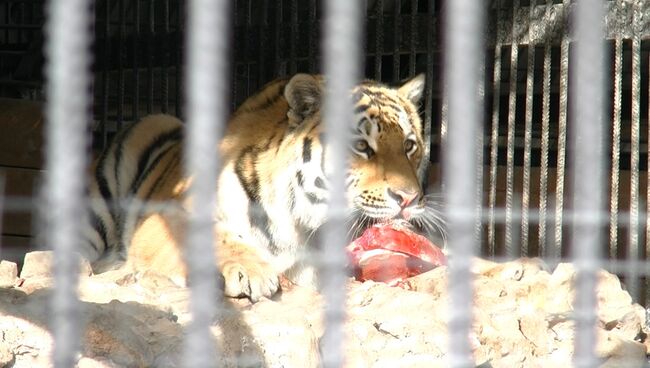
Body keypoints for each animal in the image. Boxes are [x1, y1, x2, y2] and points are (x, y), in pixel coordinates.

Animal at [81, 74, 440, 302]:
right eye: (362, 146)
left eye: (409, 145)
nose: (408, 198)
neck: (305, 227)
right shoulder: (165, 217)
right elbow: (216, 238)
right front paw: (249, 271)